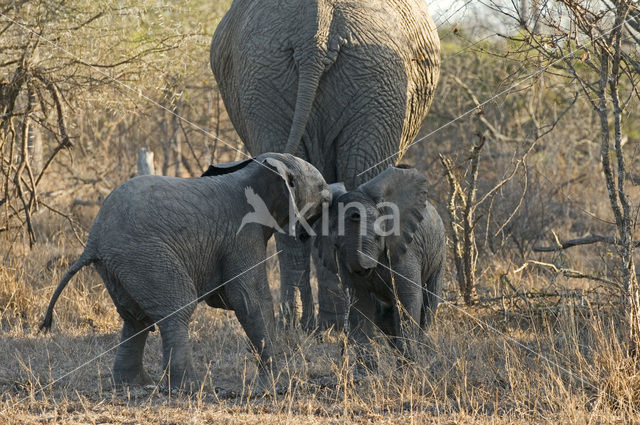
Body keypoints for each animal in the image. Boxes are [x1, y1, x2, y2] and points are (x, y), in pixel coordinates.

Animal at [40, 152, 330, 388]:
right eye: (321, 187)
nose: (332, 195)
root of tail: (93, 241)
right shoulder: (243, 235)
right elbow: (250, 299)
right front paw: (276, 380)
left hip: (118, 267)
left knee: (135, 320)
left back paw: (133, 383)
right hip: (146, 257)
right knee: (177, 309)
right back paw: (190, 385)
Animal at [210, 0, 440, 330]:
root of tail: (314, 37)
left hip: (267, 79)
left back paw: (298, 326)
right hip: (370, 79)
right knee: (363, 181)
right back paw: (340, 322)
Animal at [316, 166, 444, 358]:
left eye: (378, 237)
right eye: (336, 244)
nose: (363, 270)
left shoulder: (406, 249)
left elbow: (408, 297)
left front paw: (409, 360)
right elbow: (358, 300)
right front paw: (366, 364)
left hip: (439, 254)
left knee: (429, 301)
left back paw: (423, 348)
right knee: (383, 314)